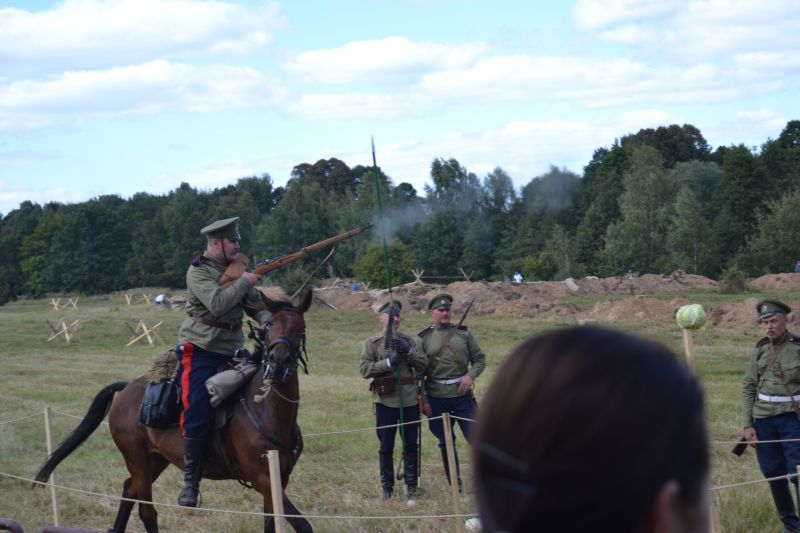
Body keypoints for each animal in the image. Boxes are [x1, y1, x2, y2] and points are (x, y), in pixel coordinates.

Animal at [35, 290, 316, 532]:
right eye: (269, 327)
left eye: (301, 328)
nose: (277, 364)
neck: (266, 411)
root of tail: (127, 388)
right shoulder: (262, 478)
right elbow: (303, 525)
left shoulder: (278, 480)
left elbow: (271, 522)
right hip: (137, 459)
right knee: (147, 511)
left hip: (156, 460)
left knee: (128, 490)